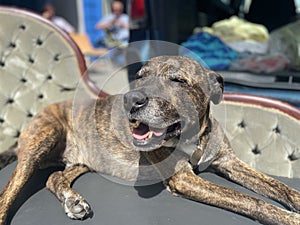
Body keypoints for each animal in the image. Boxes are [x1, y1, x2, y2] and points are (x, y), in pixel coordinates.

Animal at [0, 55, 300, 224]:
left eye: (178, 80)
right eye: (139, 76)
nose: (131, 99)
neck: (194, 138)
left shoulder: (228, 162)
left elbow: (281, 188)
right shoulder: (184, 179)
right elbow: (251, 200)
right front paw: (289, 218)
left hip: (81, 161)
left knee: (55, 177)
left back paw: (72, 200)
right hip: (42, 141)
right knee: (8, 192)